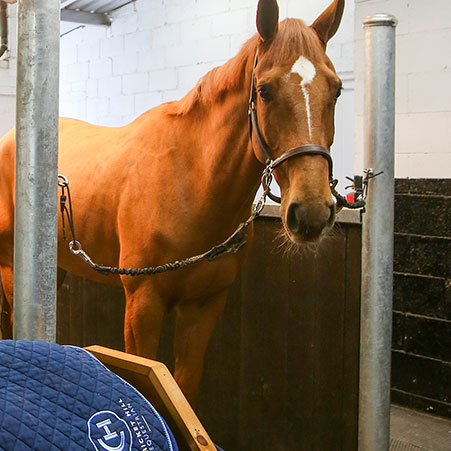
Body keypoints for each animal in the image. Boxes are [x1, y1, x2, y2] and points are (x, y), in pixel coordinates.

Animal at [0, 0, 346, 406]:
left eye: (337, 90)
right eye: (264, 90)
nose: (311, 212)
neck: (190, 181)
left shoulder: (205, 305)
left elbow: (185, 387)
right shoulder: (143, 304)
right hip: (10, 268)